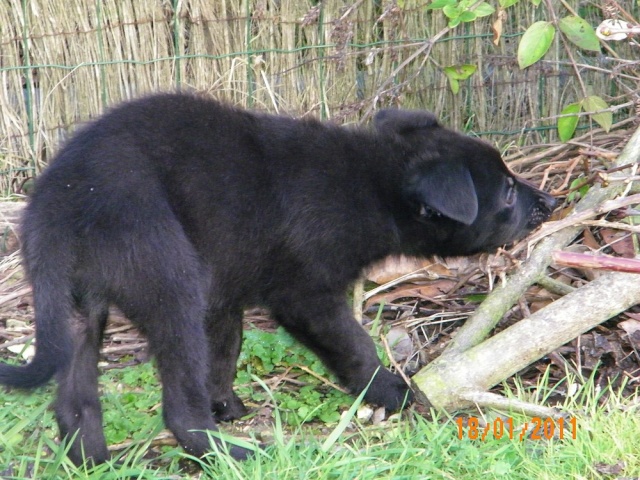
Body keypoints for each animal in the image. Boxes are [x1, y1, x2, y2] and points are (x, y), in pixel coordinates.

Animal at [0, 93, 556, 464]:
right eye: (507, 192)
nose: (552, 202)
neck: (372, 184)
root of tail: (61, 197)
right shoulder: (305, 296)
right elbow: (355, 346)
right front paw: (393, 394)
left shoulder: (223, 294)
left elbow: (225, 354)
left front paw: (228, 405)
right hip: (170, 281)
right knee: (179, 407)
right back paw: (231, 454)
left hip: (80, 307)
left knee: (75, 405)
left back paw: (99, 462)